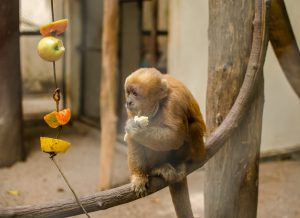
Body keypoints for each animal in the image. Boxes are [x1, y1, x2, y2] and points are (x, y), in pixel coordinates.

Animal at [123, 68, 205, 218]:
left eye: (135, 93)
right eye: (129, 92)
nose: (128, 101)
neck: (160, 102)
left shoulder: (175, 101)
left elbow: (174, 136)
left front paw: (134, 128)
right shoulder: (133, 112)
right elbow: (133, 140)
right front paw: (138, 177)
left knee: (193, 126)